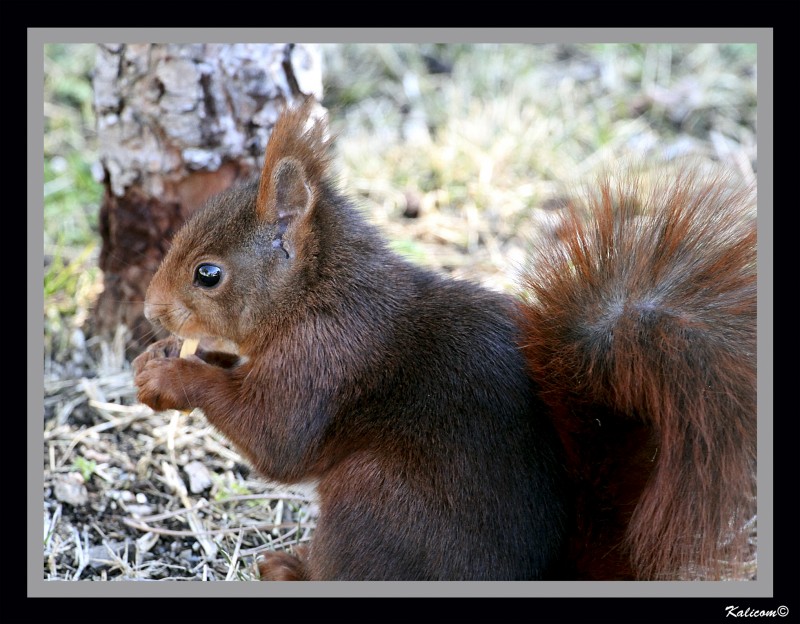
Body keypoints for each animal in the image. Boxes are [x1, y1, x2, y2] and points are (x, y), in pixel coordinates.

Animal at [131, 97, 756, 580]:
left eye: (208, 274)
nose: (150, 307)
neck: (318, 293)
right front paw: (176, 356)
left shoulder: (323, 359)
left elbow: (275, 437)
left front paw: (171, 374)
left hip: (372, 497)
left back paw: (294, 569)